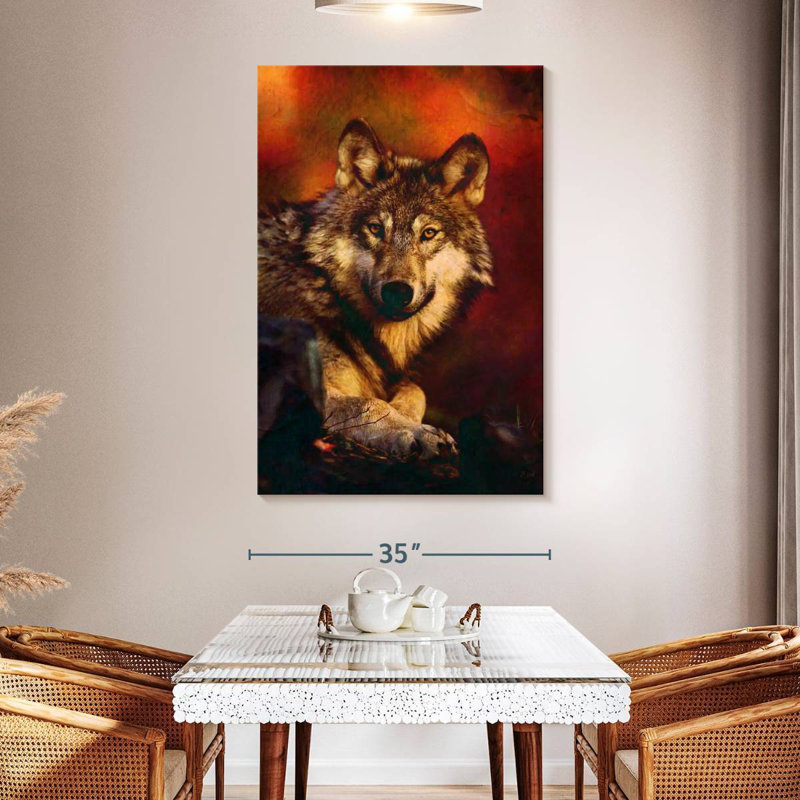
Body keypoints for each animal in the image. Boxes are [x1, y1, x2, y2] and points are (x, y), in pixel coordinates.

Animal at [258, 118, 493, 459]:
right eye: (375, 229)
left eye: (428, 233)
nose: (398, 291)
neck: (327, 290)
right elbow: (368, 403)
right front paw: (413, 432)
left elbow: (415, 391)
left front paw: (408, 421)